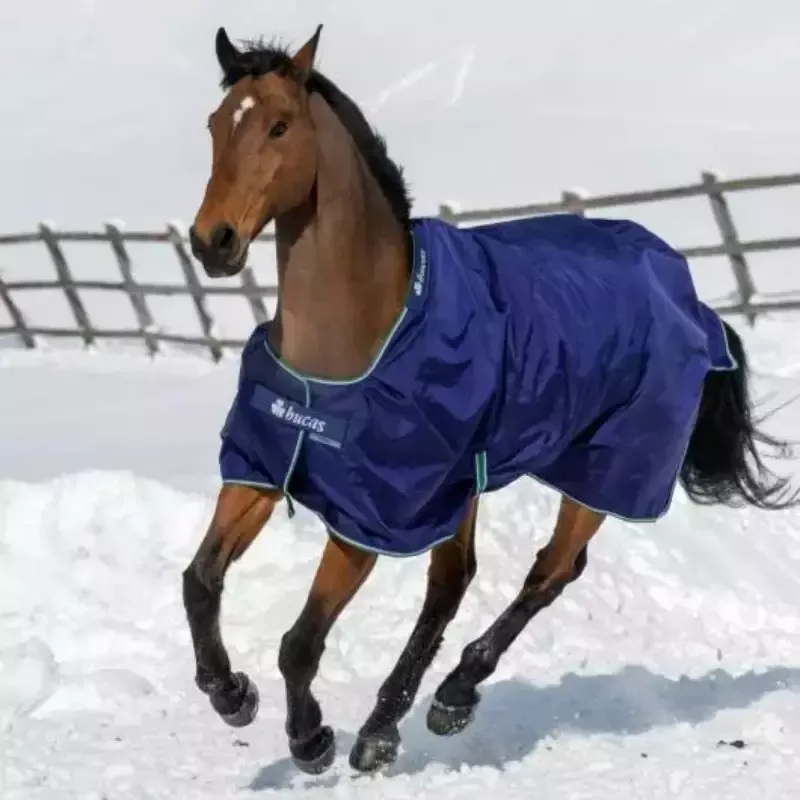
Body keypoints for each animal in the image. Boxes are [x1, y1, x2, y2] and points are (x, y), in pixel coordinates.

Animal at [182, 24, 798, 776]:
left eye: (278, 126)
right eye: (216, 124)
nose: (213, 243)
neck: (356, 341)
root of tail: (694, 300)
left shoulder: (371, 519)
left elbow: (300, 641)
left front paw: (311, 740)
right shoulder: (264, 469)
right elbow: (199, 581)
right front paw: (229, 693)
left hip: (604, 471)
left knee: (551, 571)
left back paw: (448, 699)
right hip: (470, 482)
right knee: (455, 582)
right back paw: (386, 728)